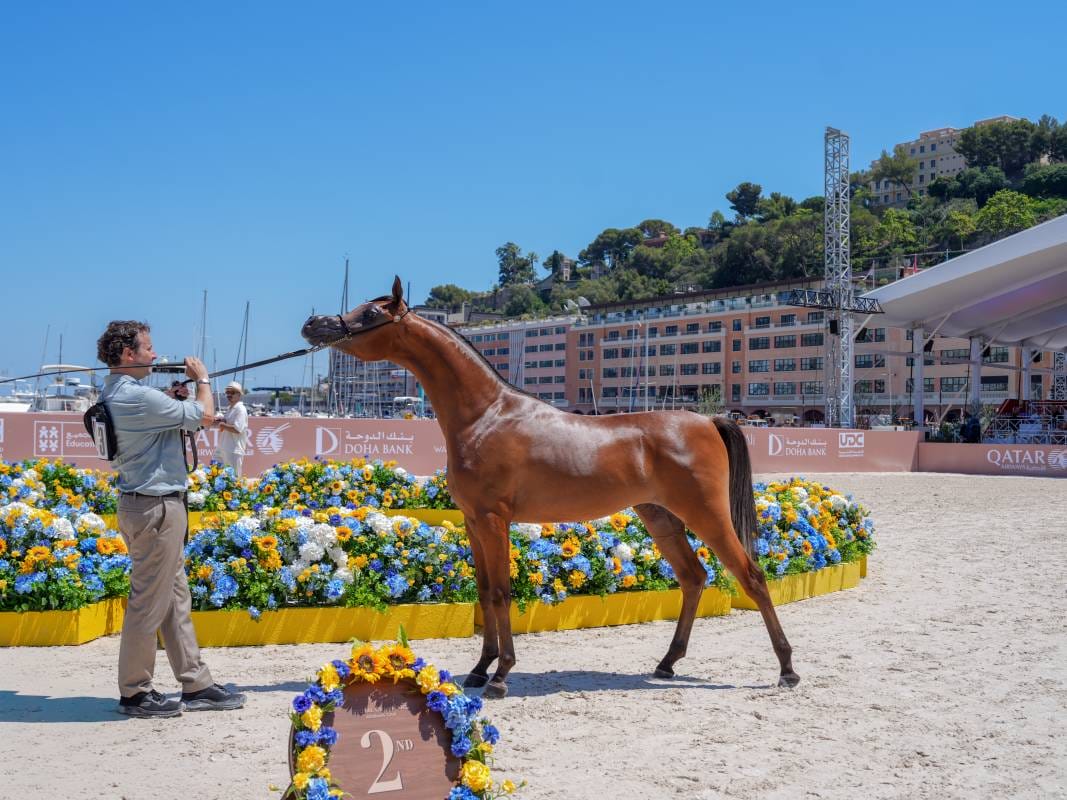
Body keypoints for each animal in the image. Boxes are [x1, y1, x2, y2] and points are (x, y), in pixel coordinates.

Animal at [302, 277, 798, 698]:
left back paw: (787, 669)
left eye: (370, 313)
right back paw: (667, 663)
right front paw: (479, 670)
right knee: (694, 578)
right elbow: (484, 592)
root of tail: (709, 421)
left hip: (707, 514)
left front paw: (501, 675)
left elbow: (501, 593)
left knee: (752, 576)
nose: (314, 324)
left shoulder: (493, 520)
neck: (486, 415)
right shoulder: (473, 522)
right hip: (661, 518)